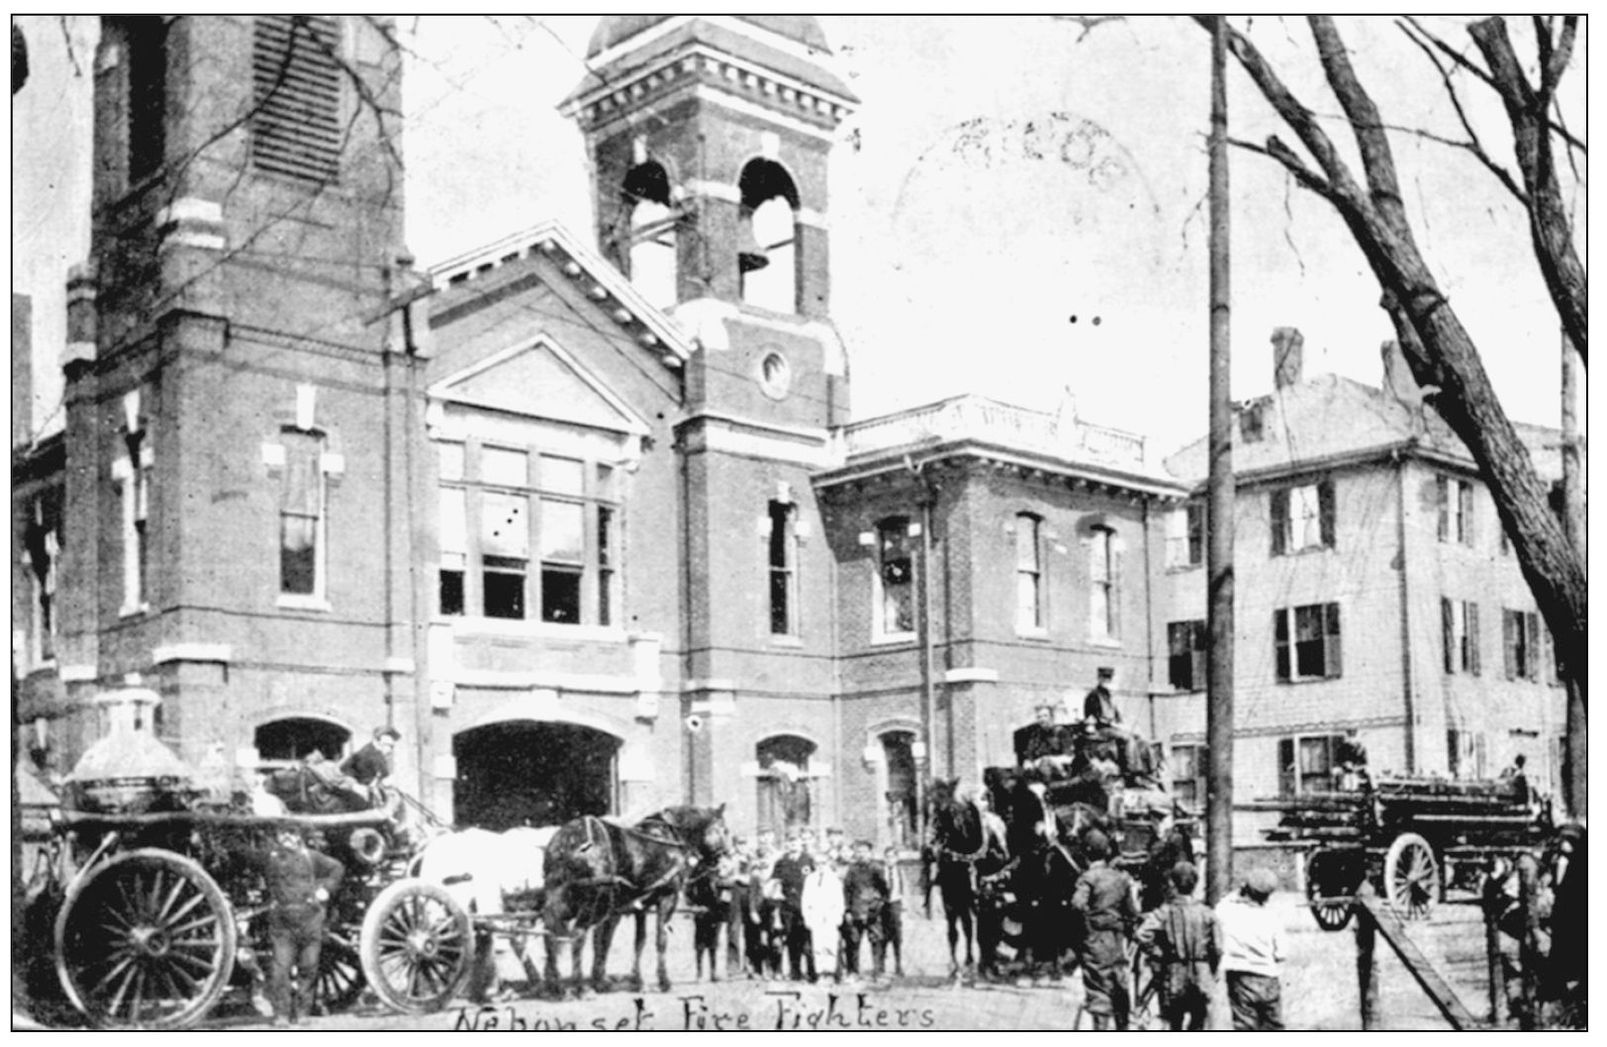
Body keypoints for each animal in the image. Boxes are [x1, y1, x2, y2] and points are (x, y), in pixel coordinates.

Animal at [546, 802, 736, 995]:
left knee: (551, 933)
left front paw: (638, 981)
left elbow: (639, 941)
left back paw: (555, 985)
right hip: (596, 903)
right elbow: (661, 939)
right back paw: (580, 987)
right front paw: (663, 981)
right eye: (724, 830)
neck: (671, 838)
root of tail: (569, 838)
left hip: (560, 899)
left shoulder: (642, 906)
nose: (725, 857)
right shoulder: (667, 898)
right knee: (578, 935)